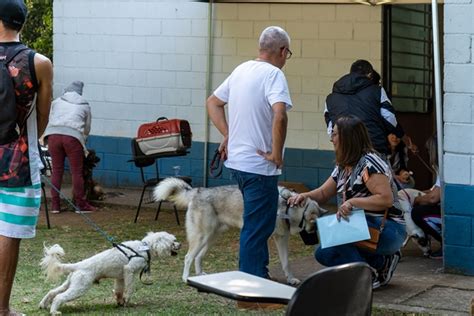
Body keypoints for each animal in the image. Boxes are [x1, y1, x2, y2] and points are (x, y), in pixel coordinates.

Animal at [38, 231, 180, 314]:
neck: (145, 247)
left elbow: (119, 291)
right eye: (173, 241)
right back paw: (54, 312)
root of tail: (78, 265)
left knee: (52, 292)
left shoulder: (120, 277)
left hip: (71, 284)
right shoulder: (129, 271)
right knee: (59, 297)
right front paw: (127, 301)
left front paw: (120, 302)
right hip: (79, 288)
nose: (181, 245)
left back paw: (43, 305)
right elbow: (130, 289)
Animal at [154, 177, 328, 286]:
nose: (315, 244)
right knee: (188, 257)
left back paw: (200, 275)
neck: (288, 208)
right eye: (313, 229)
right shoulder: (265, 236)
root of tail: (199, 190)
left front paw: (290, 280)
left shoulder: (280, 238)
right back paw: (185, 278)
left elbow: (285, 263)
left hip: (211, 237)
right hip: (202, 237)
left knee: (198, 257)